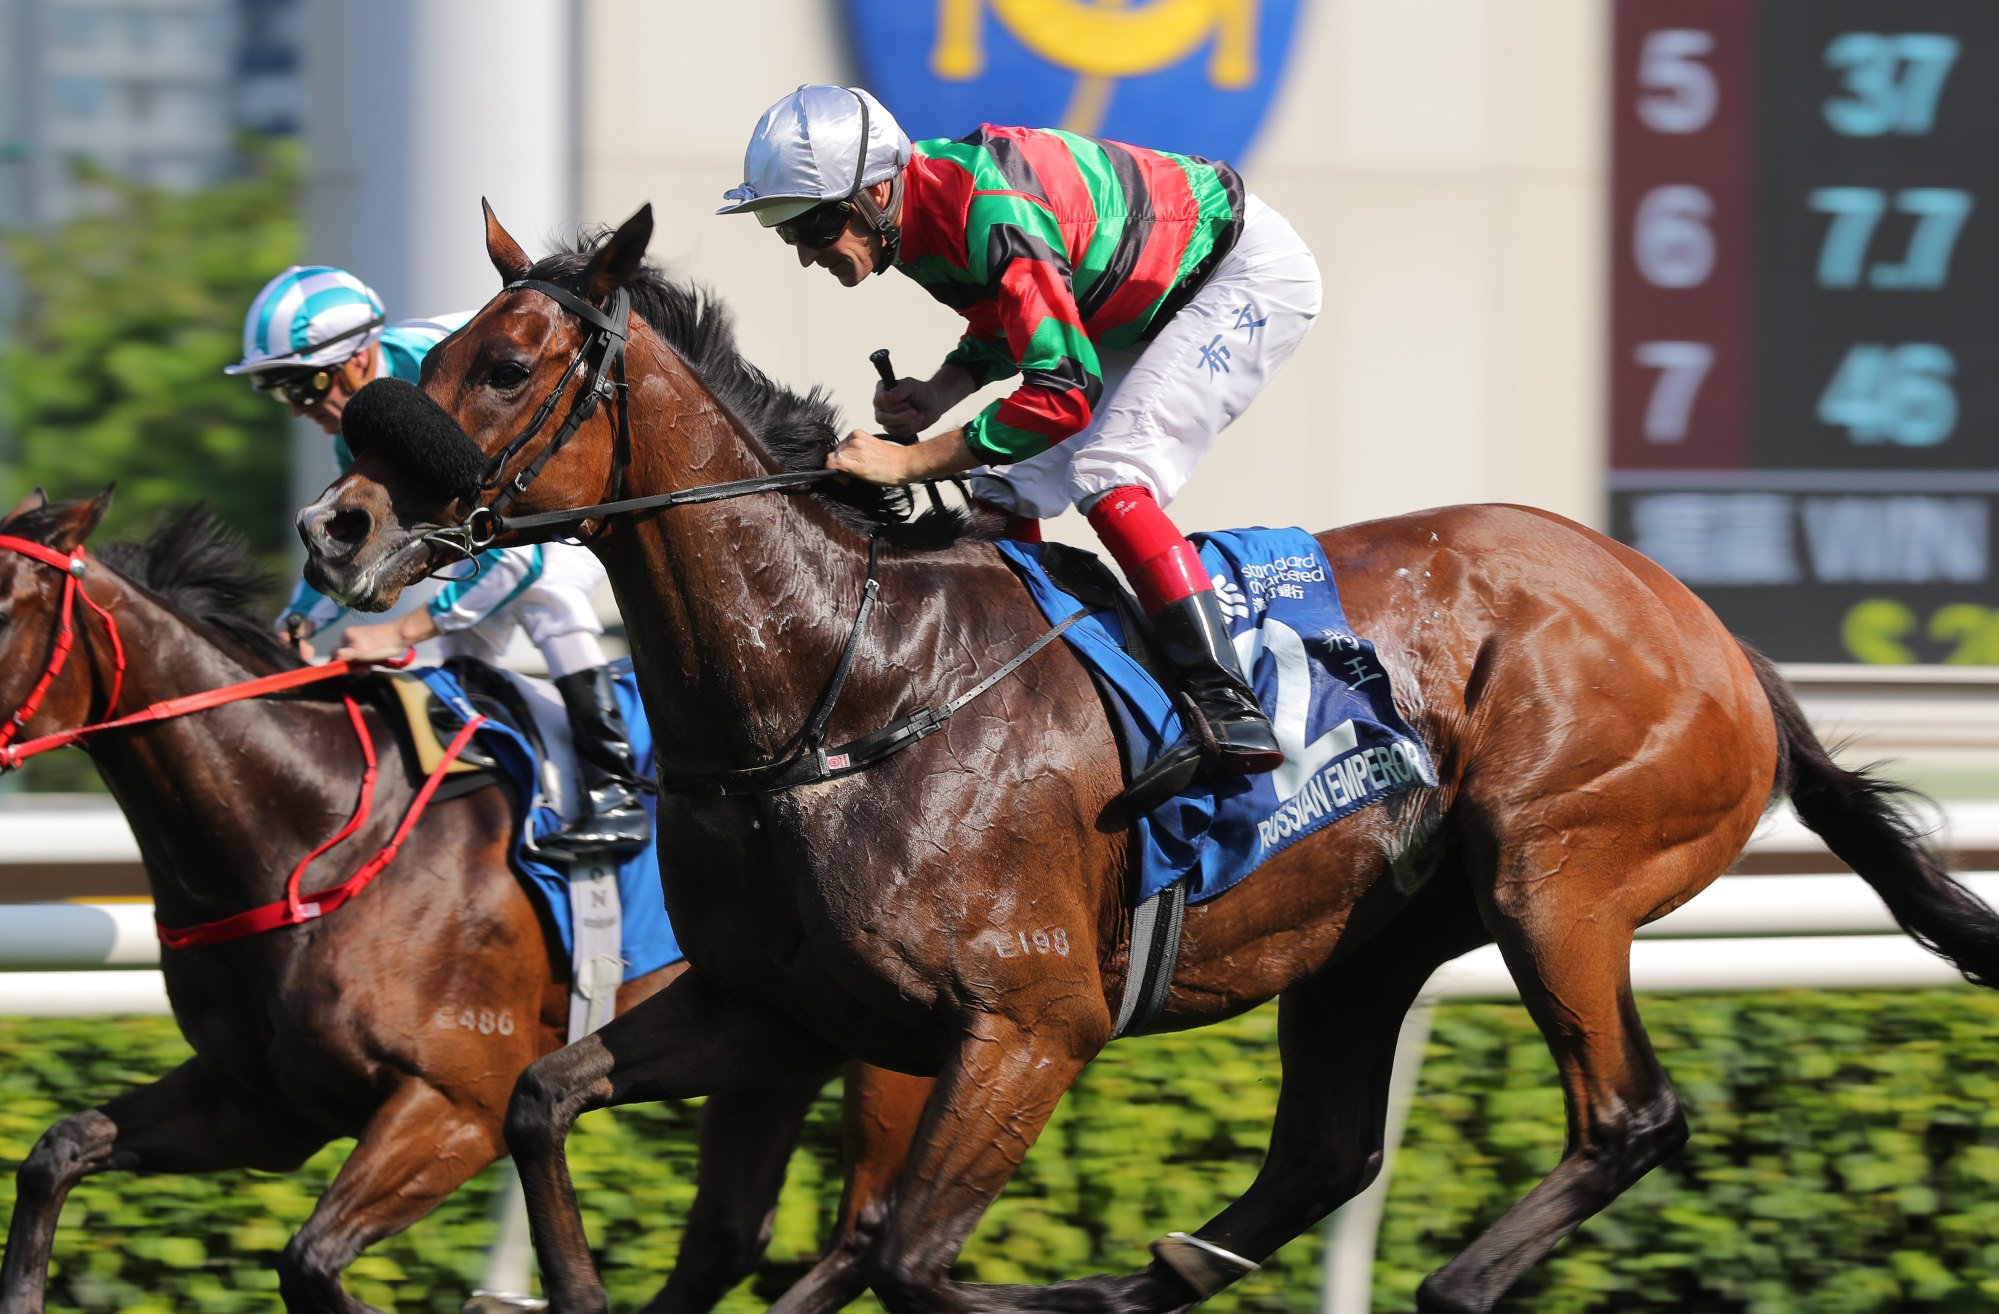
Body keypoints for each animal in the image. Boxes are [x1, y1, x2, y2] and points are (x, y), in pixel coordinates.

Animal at [0, 492, 927, 1312]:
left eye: (6, 605)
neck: (312, 830)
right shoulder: (259, 1105)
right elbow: (55, 1152)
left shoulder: (456, 1102)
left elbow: (310, 1261)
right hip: (768, 1043)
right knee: (727, 1236)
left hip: (890, 1056)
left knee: (866, 1235)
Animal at [291, 202, 1999, 1312]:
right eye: (432, 355)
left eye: (505, 365)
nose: (340, 525)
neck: (837, 687)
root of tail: (1704, 626)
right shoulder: (775, 1008)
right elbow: (540, 1098)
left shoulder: (1025, 1022)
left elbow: (910, 1258)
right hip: (1366, 940)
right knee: (1324, 1151)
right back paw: (1183, 1259)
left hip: (1555, 869)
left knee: (1627, 1116)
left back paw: (1440, 1282)